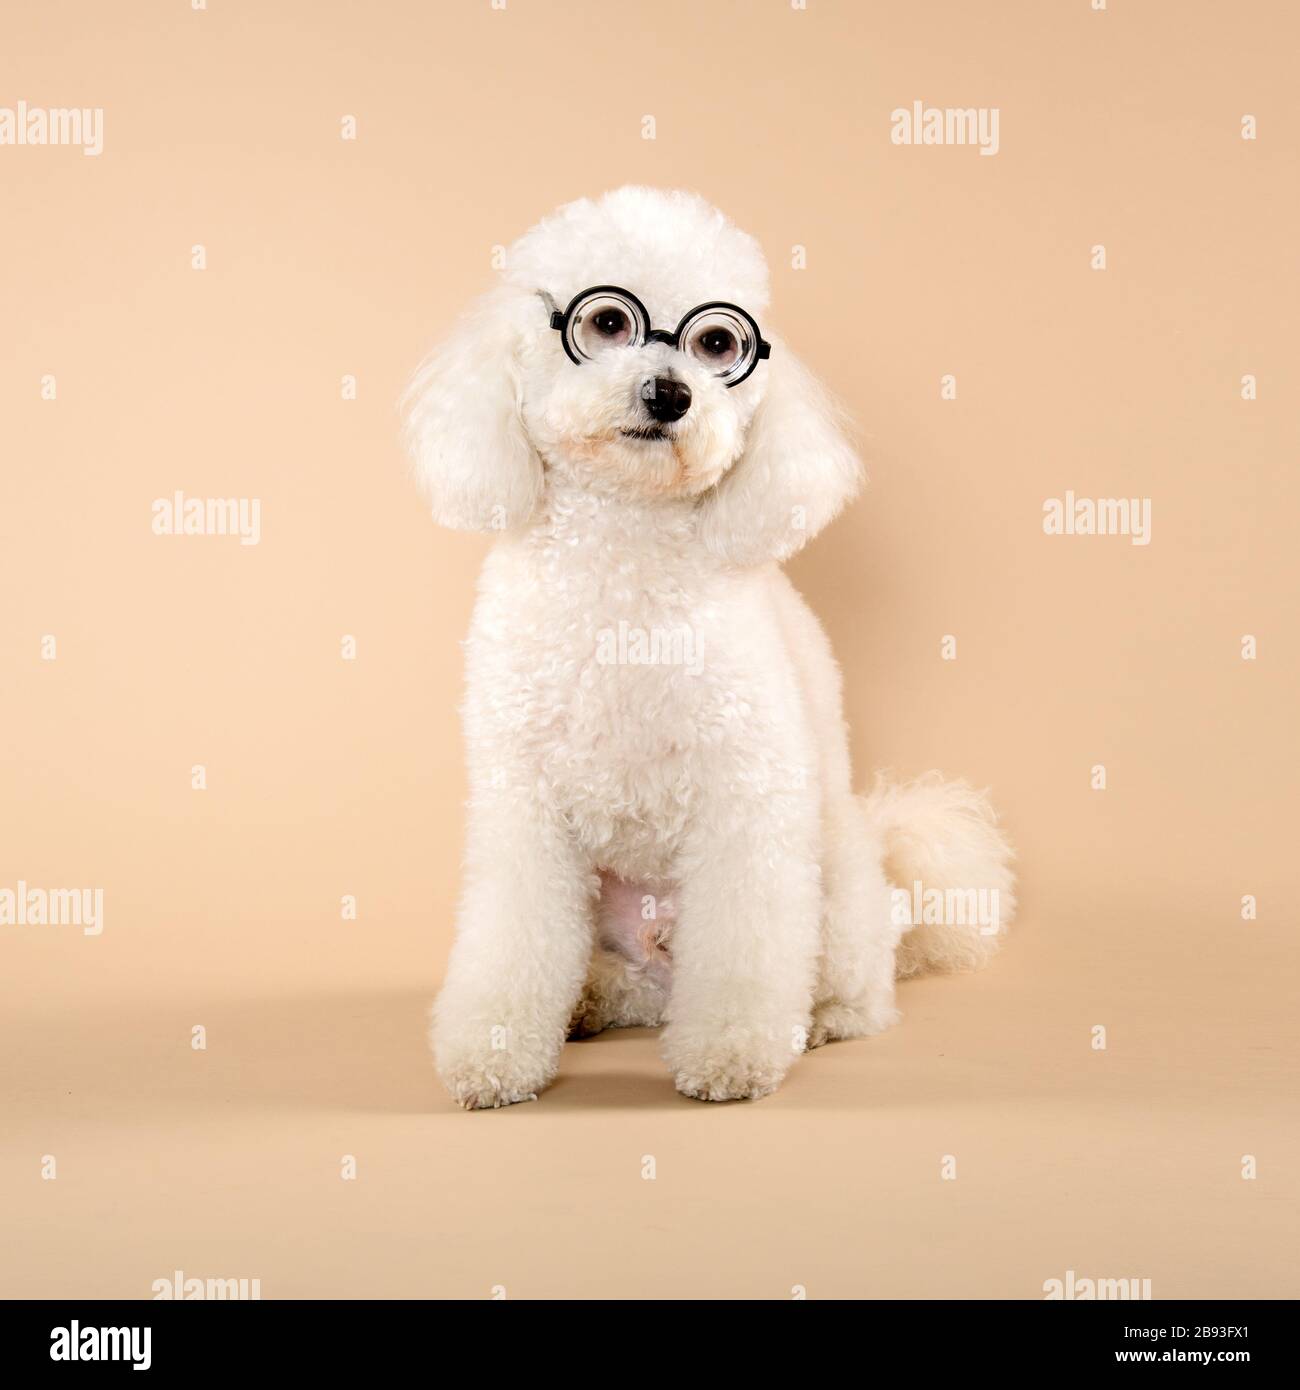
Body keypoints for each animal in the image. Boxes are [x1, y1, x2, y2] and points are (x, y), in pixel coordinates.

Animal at [400, 184, 1012, 1106]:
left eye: (717, 344)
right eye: (608, 321)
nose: (669, 393)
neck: (625, 548)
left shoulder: (743, 792)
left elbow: (744, 949)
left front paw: (731, 1054)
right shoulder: (525, 802)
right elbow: (513, 938)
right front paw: (496, 1054)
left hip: (836, 893)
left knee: (860, 988)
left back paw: (819, 1020)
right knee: (627, 989)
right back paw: (588, 1003)